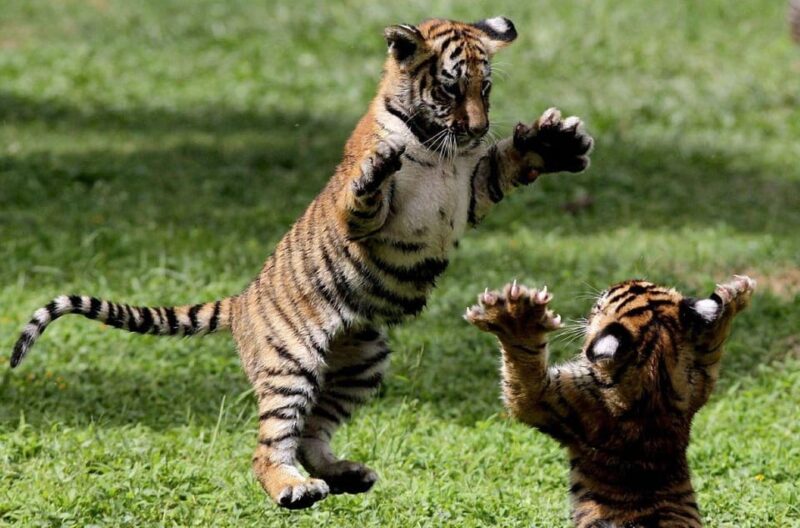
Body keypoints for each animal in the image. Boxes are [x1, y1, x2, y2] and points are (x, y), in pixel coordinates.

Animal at [10, 17, 594, 509]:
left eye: (484, 87)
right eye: (451, 87)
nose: (476, 127)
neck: (440, 147)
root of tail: (242, 299)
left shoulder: (473, 188)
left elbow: (504, 163)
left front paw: (556, 143)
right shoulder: (368, 215)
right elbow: (364, 194)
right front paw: (376, 168)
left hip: (363, 360)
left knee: (312, 434)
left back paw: (346, 475)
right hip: (290, 362)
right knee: (267, 447)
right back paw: (294, 490)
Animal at [465, 275, 755, 527]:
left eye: (597, 306)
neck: (657, 368)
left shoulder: (546, 400)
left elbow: (523, 364)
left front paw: (516, 316)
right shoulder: (696, 384)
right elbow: (711, 352)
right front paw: (733, 297)